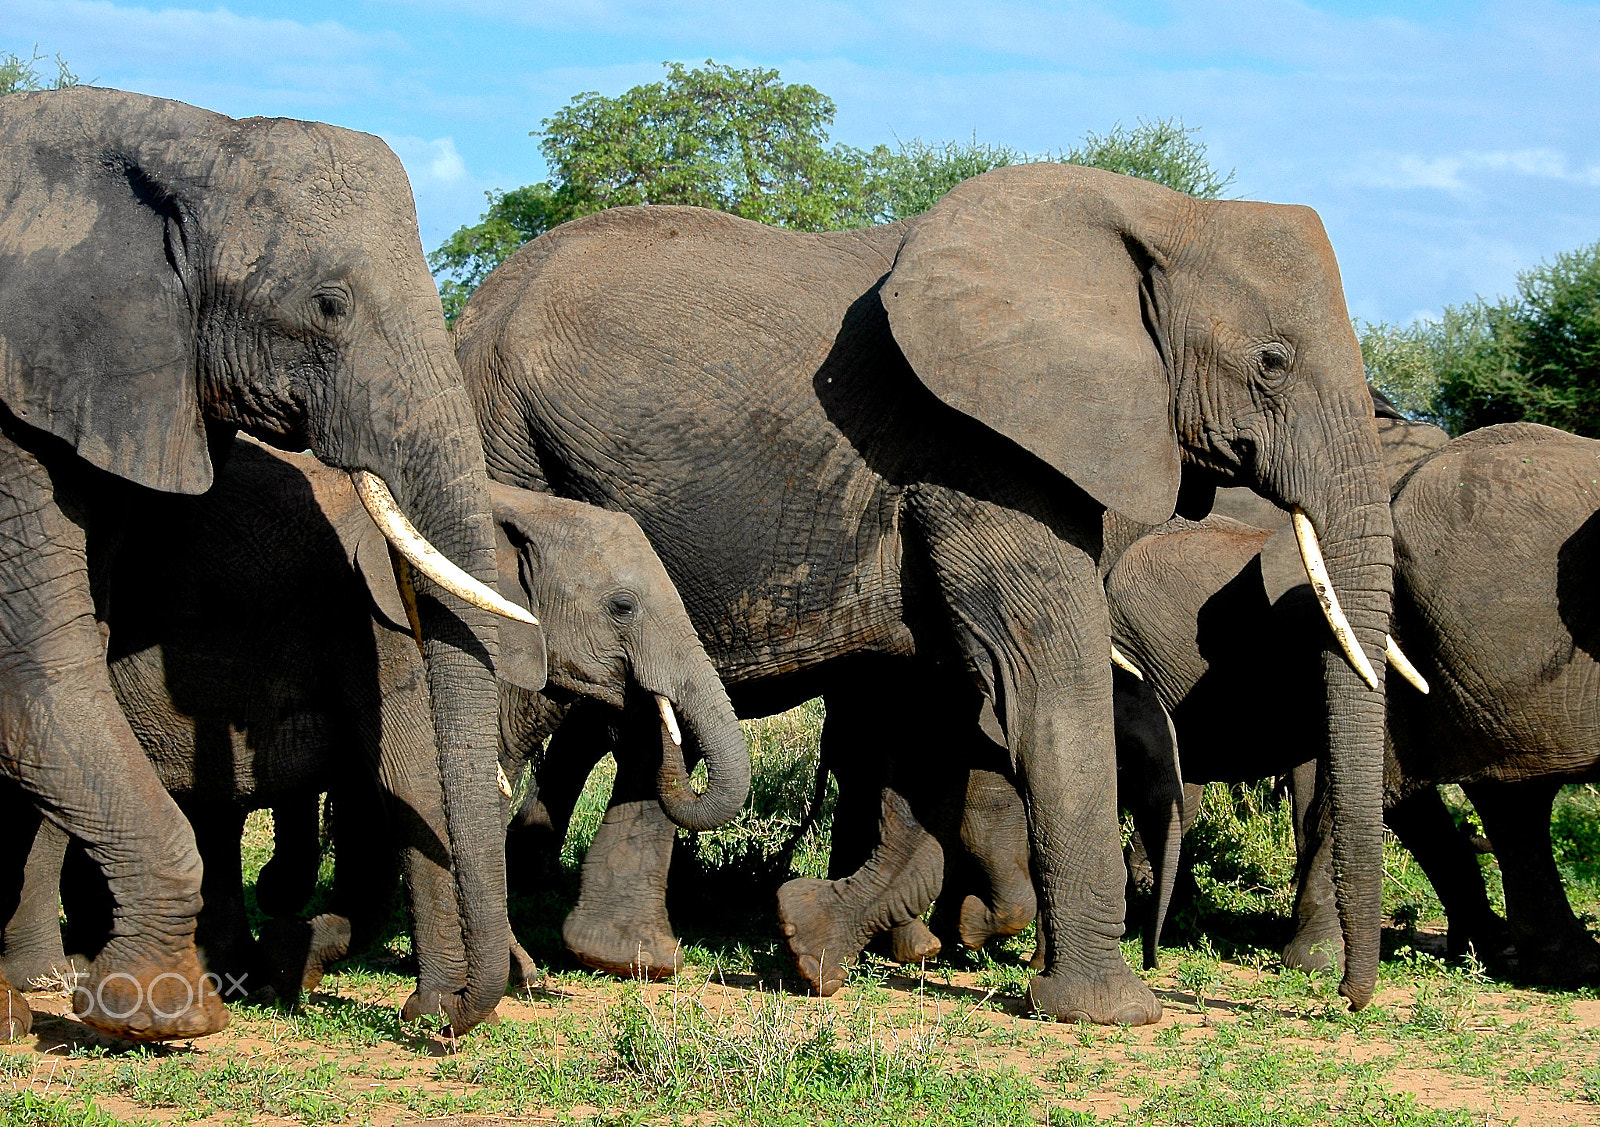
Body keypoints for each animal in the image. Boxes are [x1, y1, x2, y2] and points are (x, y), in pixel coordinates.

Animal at [0, 438, 745, 1010]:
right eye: (622, 607)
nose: (654, 717)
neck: (510, 504)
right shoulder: (383, 624)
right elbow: (411, 788)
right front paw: (440, 1005)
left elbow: (384, 808)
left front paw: (293, 961)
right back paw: (56, 974)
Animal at [453, 161, 1402, 1022]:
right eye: (1272, 362)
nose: (1344, 1000)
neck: (1152, 211)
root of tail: (475, 310)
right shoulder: (979, 448)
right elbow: (1043, 679)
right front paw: (1108, 1010)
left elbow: (941, 719)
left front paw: (816, 942)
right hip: (511, 446)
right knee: (528, 694)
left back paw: (625, 958)